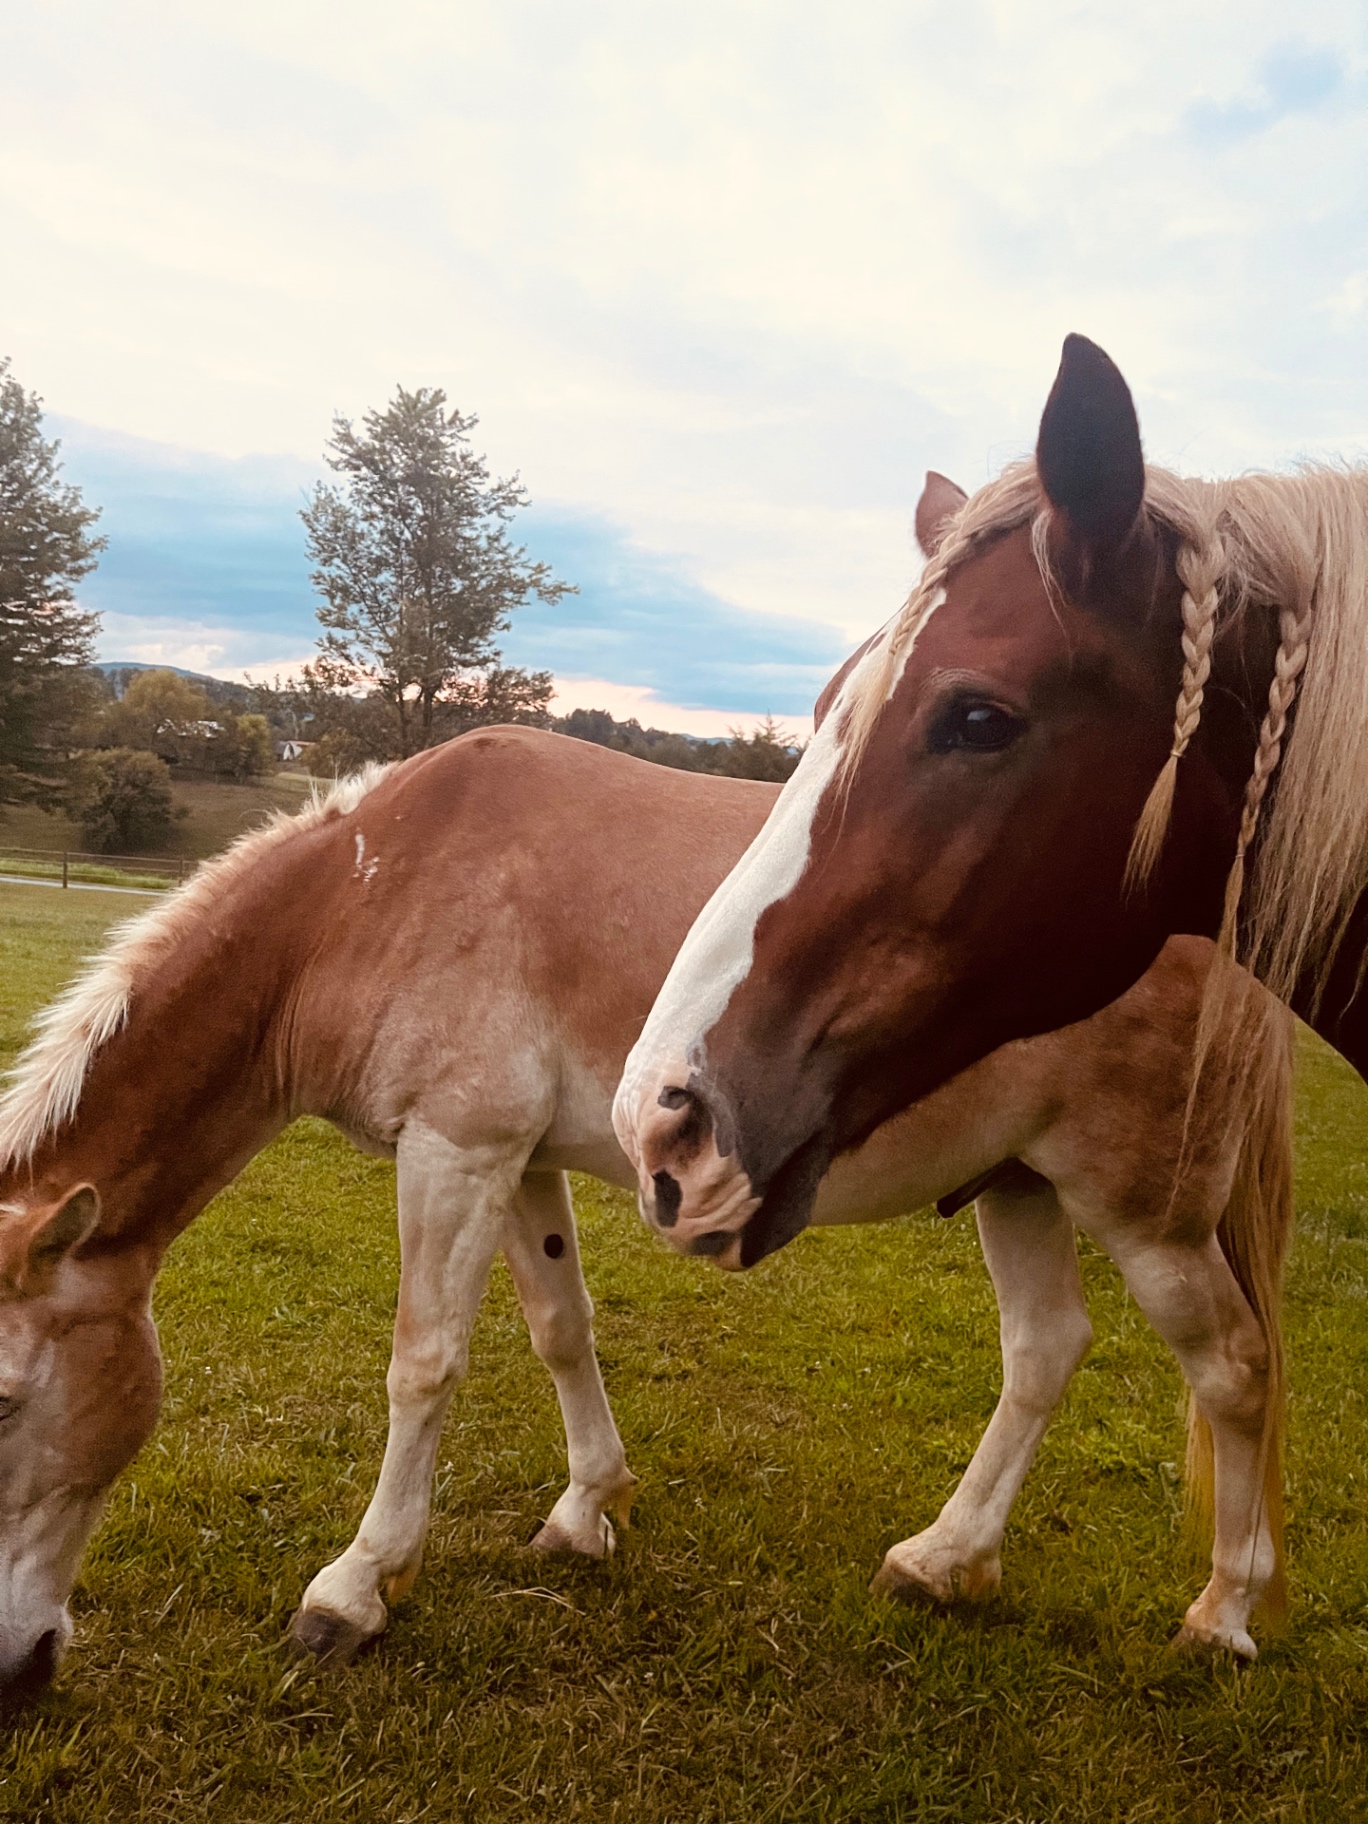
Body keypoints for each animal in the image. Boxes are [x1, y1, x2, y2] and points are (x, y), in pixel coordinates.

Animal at [0, 727, 1291, 1699]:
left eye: (9, 1400)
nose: (17, 1675)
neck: (375, 888)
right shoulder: (516, 1162)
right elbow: (559, 1330)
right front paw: (587, 1510)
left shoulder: (455, 1151)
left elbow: (423, 1366)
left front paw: (357, 1588)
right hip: (1018, 1186)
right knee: (1043, 1352)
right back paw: (944, 1560)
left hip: (1146, 1213)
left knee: (1234, 1370)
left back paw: (1223, 1614)